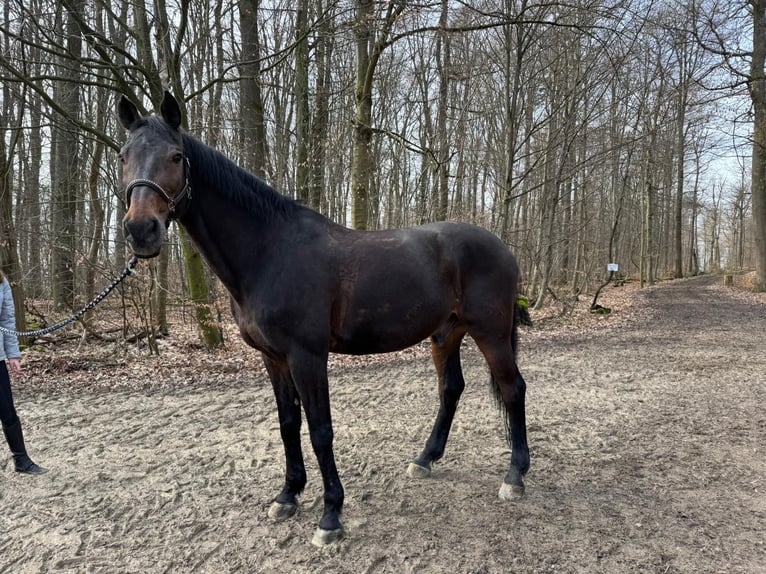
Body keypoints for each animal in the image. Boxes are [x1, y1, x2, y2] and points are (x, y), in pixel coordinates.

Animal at [118, 91, 530, 546]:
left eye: (175, 156)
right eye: (123, 155)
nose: (141, 230)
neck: (271, 252)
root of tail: (503, 248)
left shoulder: (307, 356)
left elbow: (320, 431)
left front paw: (330, 515)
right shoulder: (274, 358)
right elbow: (288, 424)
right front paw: (287, 496)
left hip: (490, 332)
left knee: (513, 389)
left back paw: (514, 477)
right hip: (446, 334)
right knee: (451, 389)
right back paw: (425, 459)